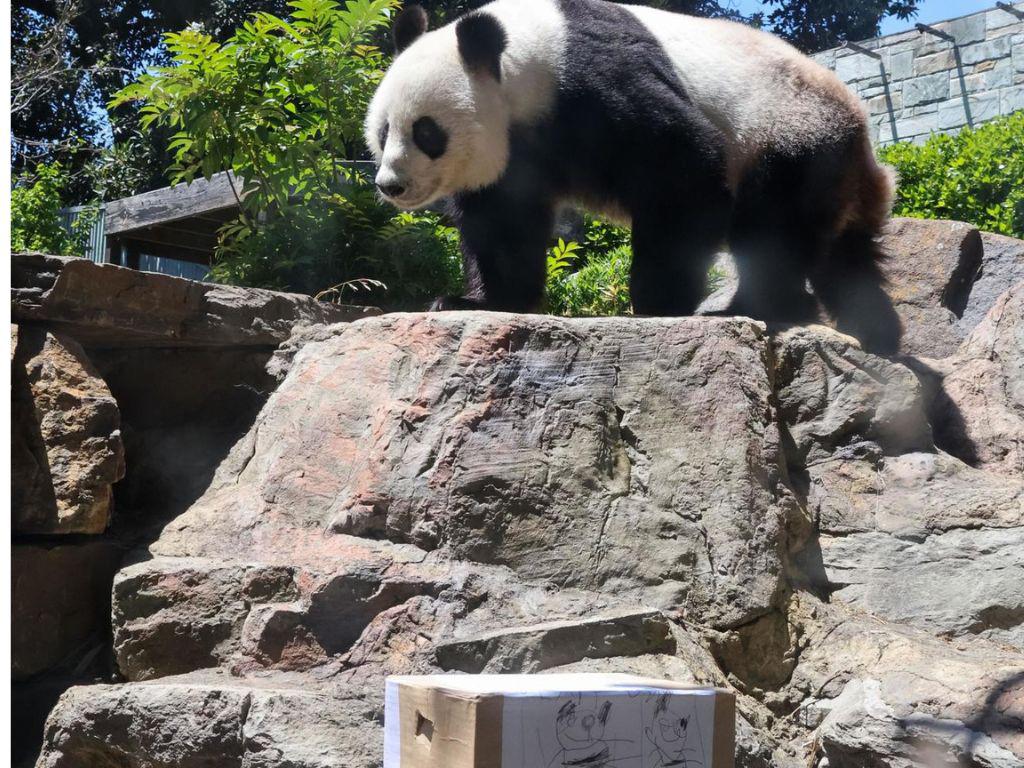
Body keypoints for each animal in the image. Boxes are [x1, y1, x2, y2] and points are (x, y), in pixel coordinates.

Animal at [365, 0, 902, 354]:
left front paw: (656, 304)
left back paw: (753, 306)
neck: (519, 57)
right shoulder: (518, 148)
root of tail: (863, 135)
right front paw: (476, 299)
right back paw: (877, 333)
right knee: (846, 258)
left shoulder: (592, 83)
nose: (392, 186)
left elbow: (684, 169)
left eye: (426, 132)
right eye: (385, 129)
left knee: (773, 228)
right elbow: (503, 225)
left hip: (787, 136)